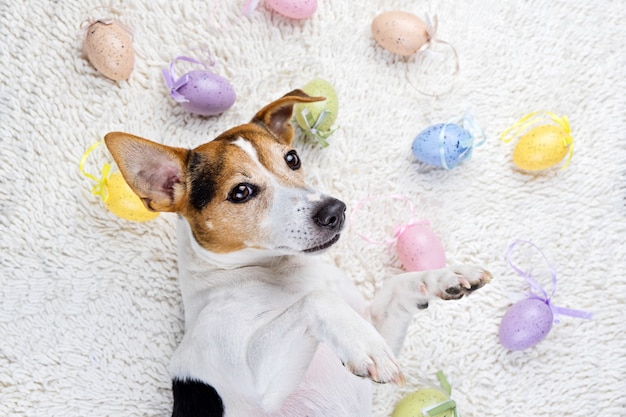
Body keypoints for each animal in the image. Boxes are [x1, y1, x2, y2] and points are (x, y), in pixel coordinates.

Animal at [105, 91, 490, 416]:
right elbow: (315, 301)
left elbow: (395, 286)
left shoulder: (378, 318)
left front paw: (444, 276)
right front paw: (364, 343)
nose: (335, 210)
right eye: (241, 192)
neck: (280, 271)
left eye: (292, 158)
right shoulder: (257, 387)